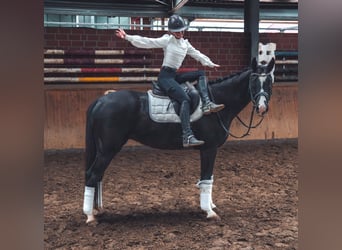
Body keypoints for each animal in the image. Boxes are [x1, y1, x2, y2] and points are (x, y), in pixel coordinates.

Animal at [82, 58, 276, 223]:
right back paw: (90, 216)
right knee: (92, 175)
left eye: (269, 82)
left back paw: (96, 210)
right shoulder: (209, 149)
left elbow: (209, 178)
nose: (262, 107)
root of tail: (100, 100)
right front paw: (209, 211)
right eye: (253, 81)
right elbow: (206, 178)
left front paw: (210, 206)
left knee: (97, 175)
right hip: (108, 149)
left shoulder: (210, 150)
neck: (216, 103)